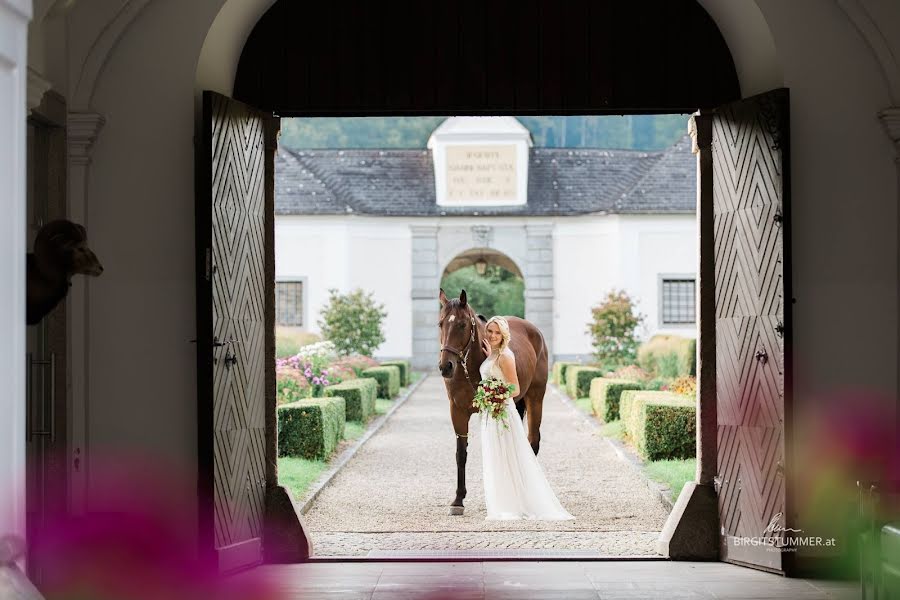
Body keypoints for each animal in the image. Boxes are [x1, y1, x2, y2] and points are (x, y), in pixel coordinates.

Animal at [440, 288, 552, 512]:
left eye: (462, 325)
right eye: (441, 324)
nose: (445, 366)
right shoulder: (457, 411)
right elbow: (461, 453)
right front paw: (458, 499)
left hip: (536, 398)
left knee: (533, 441)